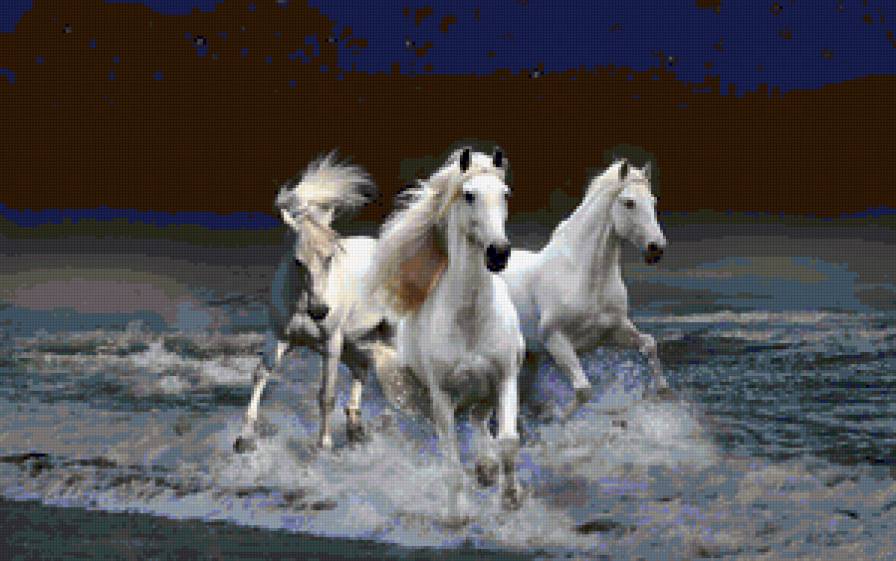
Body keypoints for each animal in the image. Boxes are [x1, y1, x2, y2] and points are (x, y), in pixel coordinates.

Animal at [234, 152, 396, 453]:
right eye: (297, 261)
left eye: (330, 257)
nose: (319, 311)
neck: (300, 305)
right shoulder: (280, 336)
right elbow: (260, 374)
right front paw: (244, 439)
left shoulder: (331, 342)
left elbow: (326, 394)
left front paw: (324, 445)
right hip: (353, 340)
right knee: (361, 368)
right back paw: (355, 430)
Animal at [367, 146, 526, 510]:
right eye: (469, 195)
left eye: (505, 194)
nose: (498, 253)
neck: (470, 319)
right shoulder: (441, 395)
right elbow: (451, 460)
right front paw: (456, 515)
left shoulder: (505, 377)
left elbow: (508, 441)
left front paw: (510, 497)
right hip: (426, 397)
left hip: (484, 392)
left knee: (479, 420)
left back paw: (486, 468)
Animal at [500, 159, 671, 421]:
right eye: (629, 202)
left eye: (653, 201)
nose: (656, 248)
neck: (584, 277)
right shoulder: (555, 340)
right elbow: (584, 390)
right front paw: (558, 417)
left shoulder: (613, 331)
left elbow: (649, 344)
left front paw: (661, 392)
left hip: (528, 359)